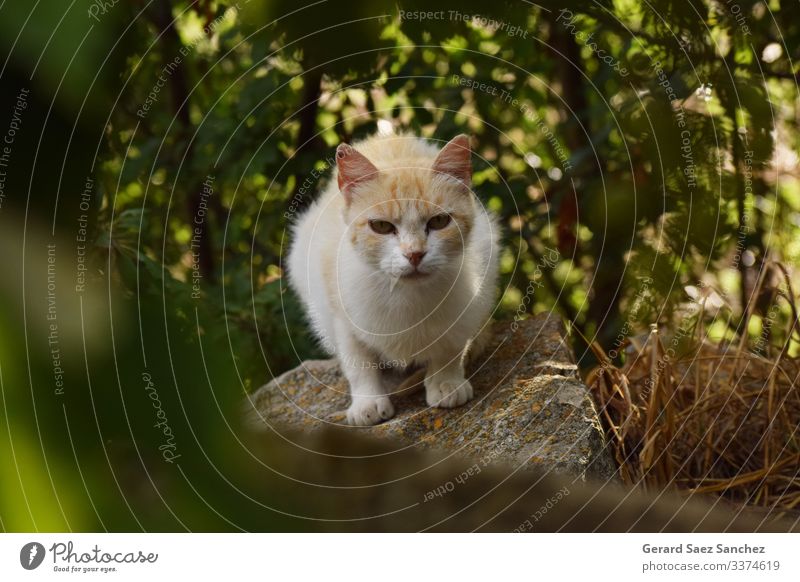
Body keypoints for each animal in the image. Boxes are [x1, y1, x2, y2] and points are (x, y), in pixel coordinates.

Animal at [288, 135, 500, 426]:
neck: (406, 295)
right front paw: (368, 403)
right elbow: (358, 361)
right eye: (381, 226)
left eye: (439, 221)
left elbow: (450, 348)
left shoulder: (471, 296)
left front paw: (446, 383)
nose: (414, 254)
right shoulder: (339, 309)